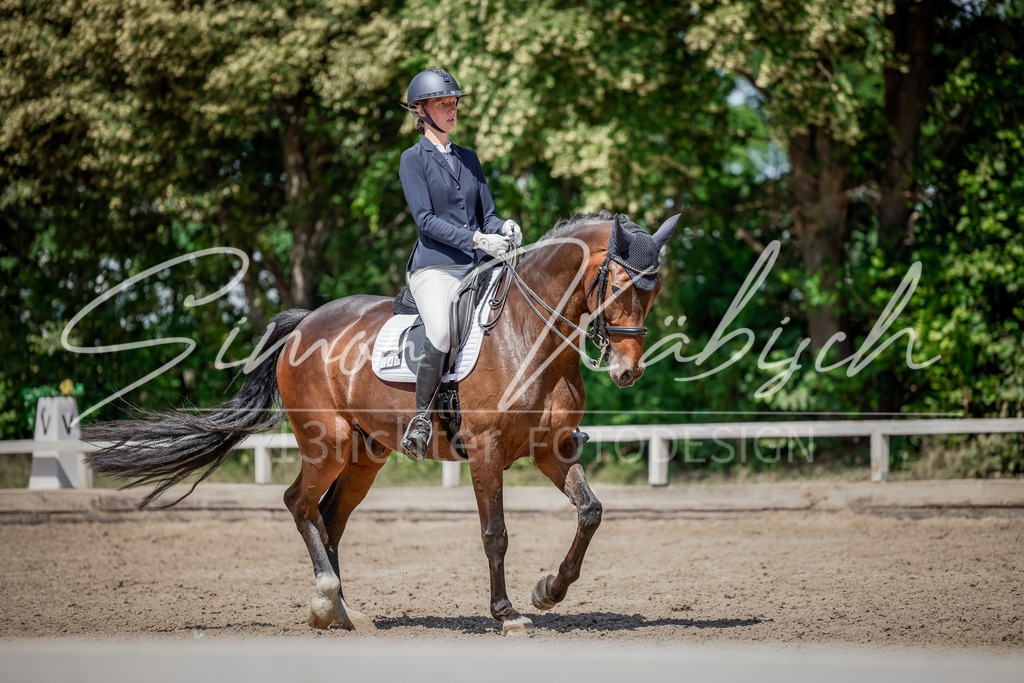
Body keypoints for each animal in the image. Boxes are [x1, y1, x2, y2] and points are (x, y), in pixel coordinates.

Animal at [84, 210, 679, 635]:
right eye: (620, 284)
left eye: (654, 290)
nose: (627, 371)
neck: (528, 332)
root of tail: (304, 323)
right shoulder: (486, 451)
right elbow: (495, 534)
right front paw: (506, 612)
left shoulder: (551, 448)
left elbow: (590, 512)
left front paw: (549, 590)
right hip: (328, 443)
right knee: (299, 504)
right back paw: (325, 600)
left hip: (364, 455)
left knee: (328, 518)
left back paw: (343, 614)